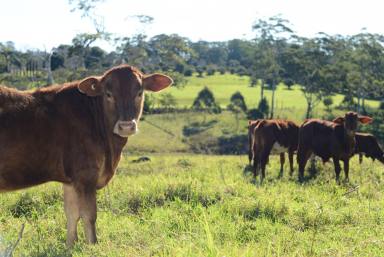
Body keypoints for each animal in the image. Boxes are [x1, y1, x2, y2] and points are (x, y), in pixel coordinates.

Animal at [0, 64, 172, 246]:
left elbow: (72, 214)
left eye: (139, 92)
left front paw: (71, 245)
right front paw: (93, 245)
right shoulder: (86, 175)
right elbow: (89, 215)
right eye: (108, 94)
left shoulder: (70, 180)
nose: (126, 126)